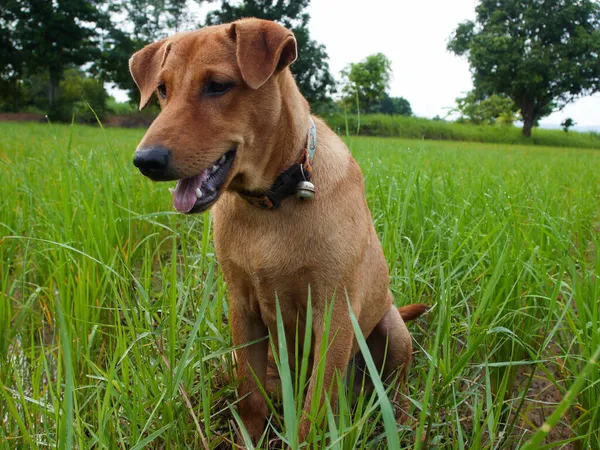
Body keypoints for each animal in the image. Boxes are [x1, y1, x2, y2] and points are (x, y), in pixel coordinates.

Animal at [130, 18, 426, 446]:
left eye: (218, 85)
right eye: (163, 90)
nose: (146, 160)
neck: (271, 200)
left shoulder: (334, 315)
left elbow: (313, 408)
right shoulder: (243, 307)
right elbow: (249, 396)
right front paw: (247, 441)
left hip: (393, 330)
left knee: (395, 389)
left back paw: (401, 424)